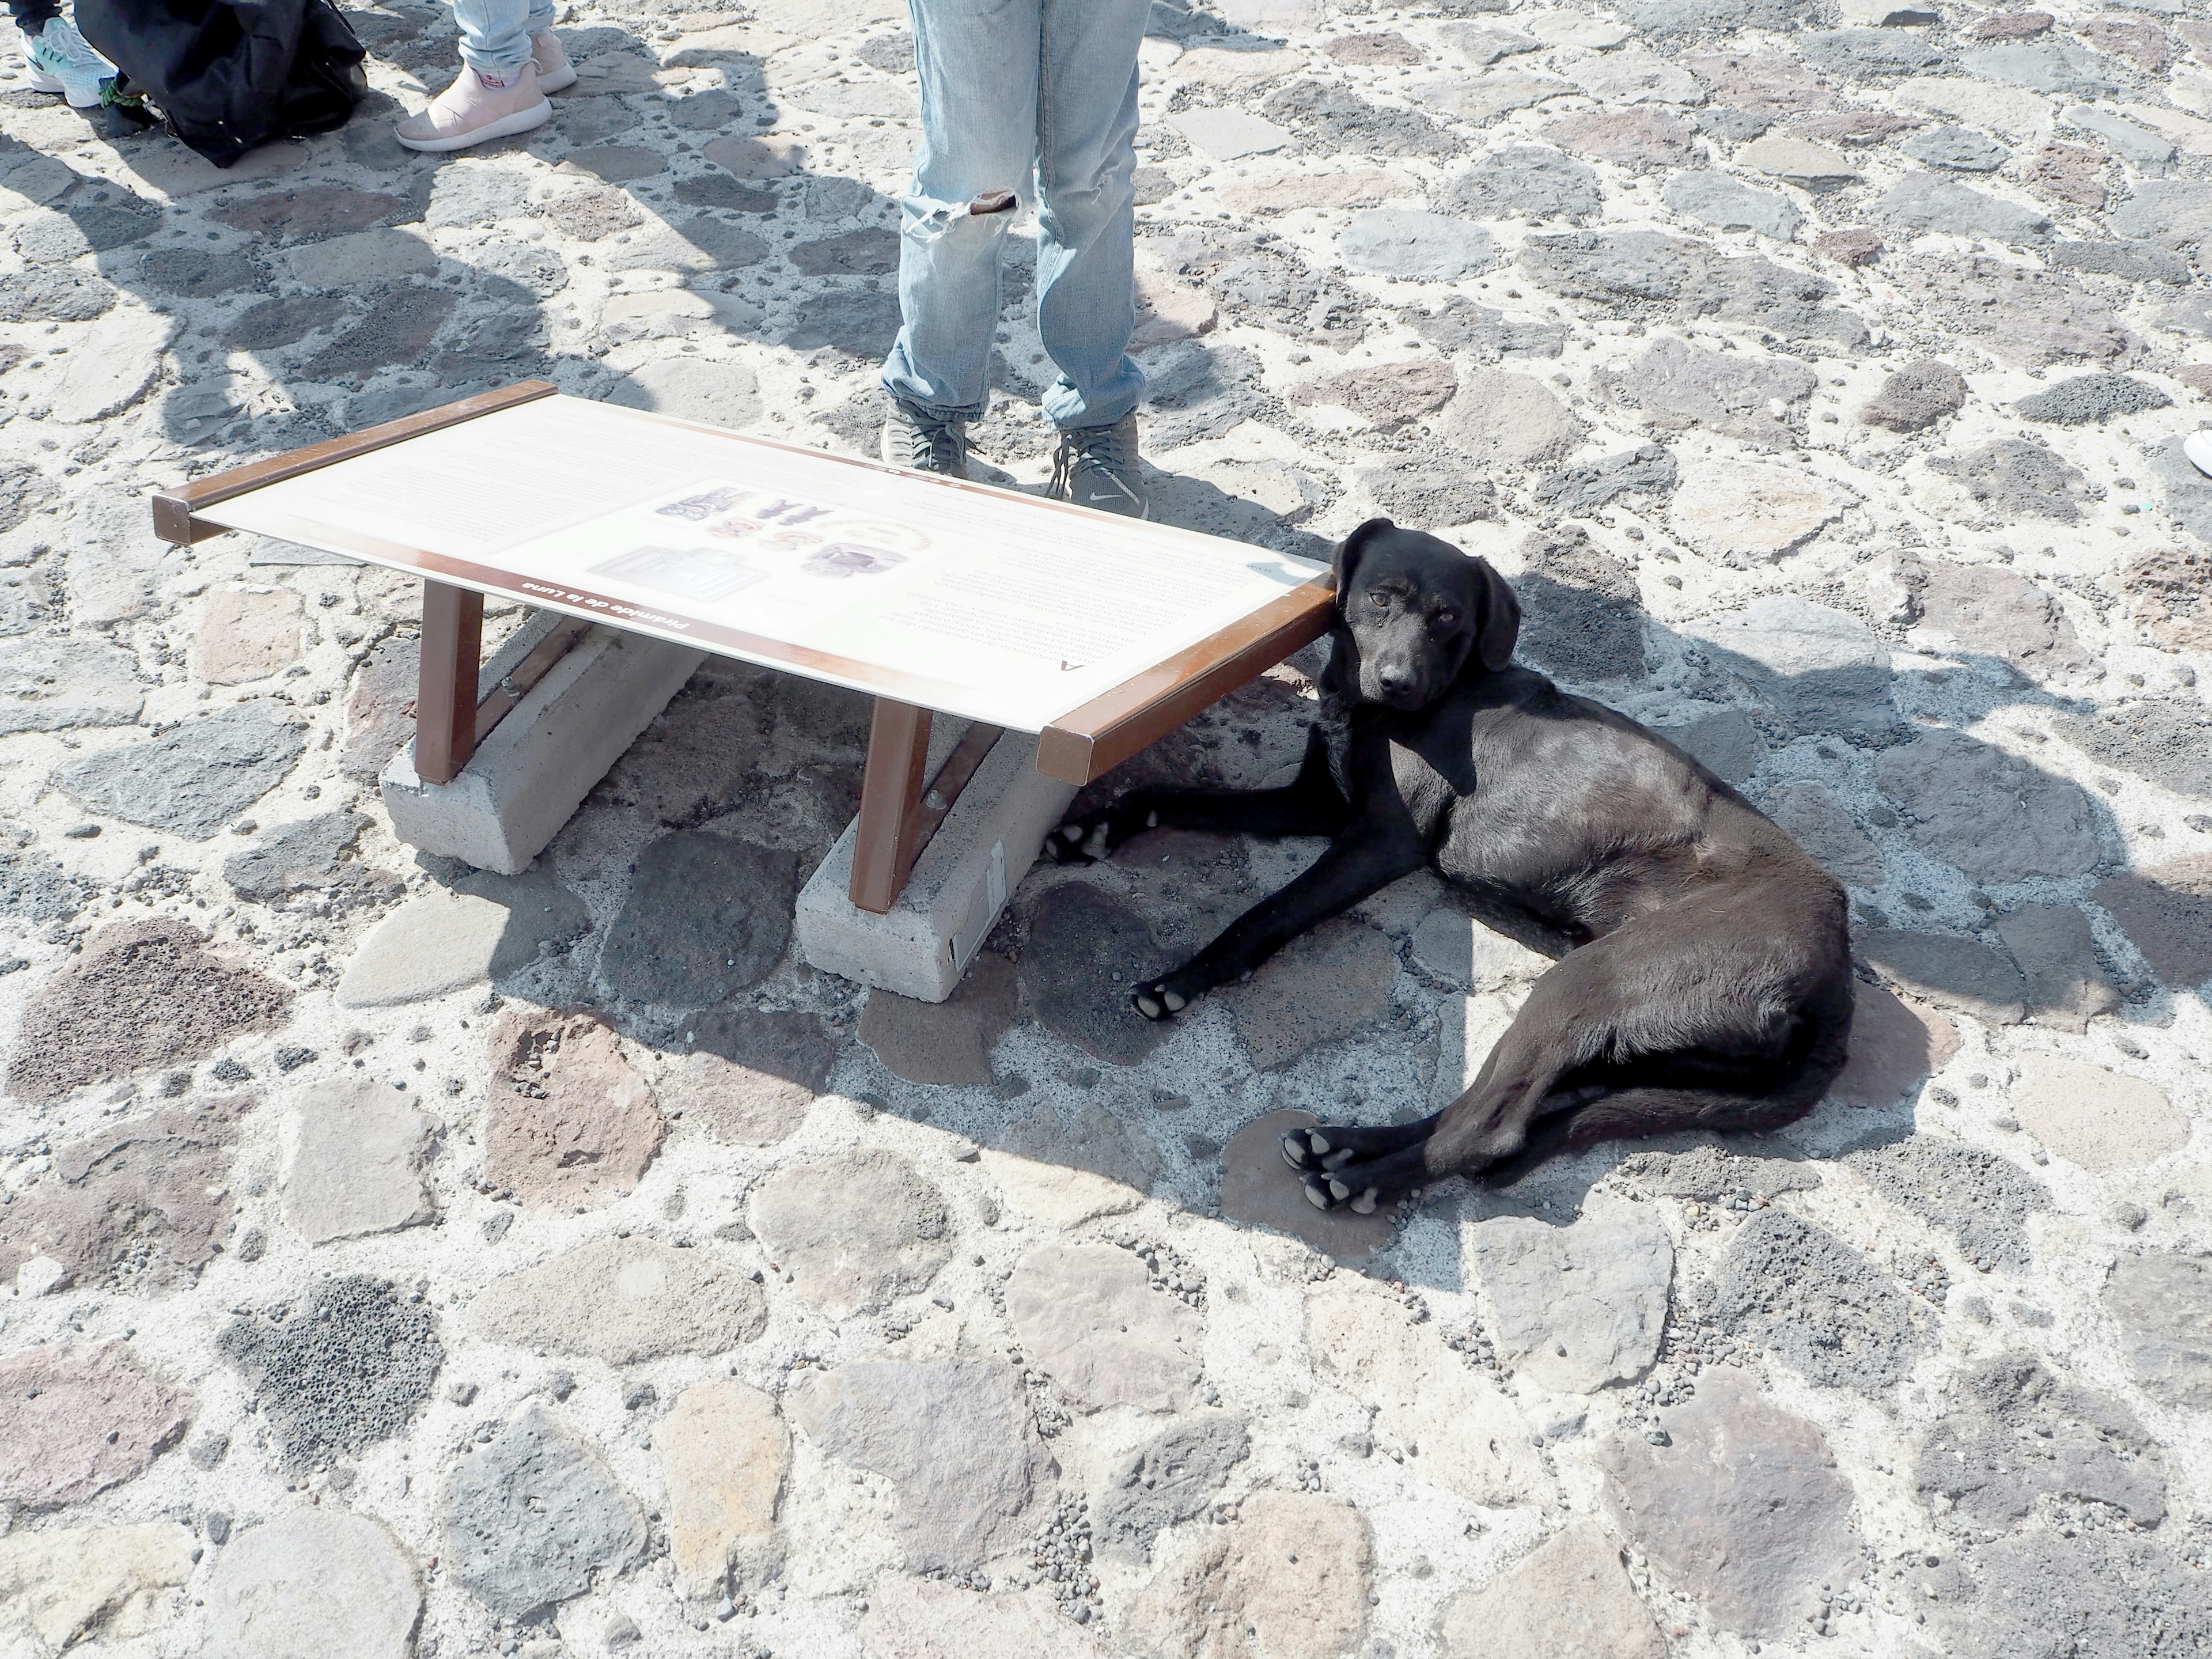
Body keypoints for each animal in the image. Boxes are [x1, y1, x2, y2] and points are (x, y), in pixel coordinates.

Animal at [1044, 526, 1858, 1212]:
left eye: (1446, 616)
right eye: (1382, 597)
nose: (1396, 680)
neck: (1388, 710)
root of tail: (1839, 972)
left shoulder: (1378, 841)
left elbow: (1264, 914)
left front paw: (1181, 979)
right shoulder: (1315, 803)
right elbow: (1176, 795)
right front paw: (1099, 825)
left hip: (1591, 983)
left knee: (1486, 1131)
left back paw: (1361, 1182)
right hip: (1642, 1047)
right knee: (1501, 1112)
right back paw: (1343, 1145)